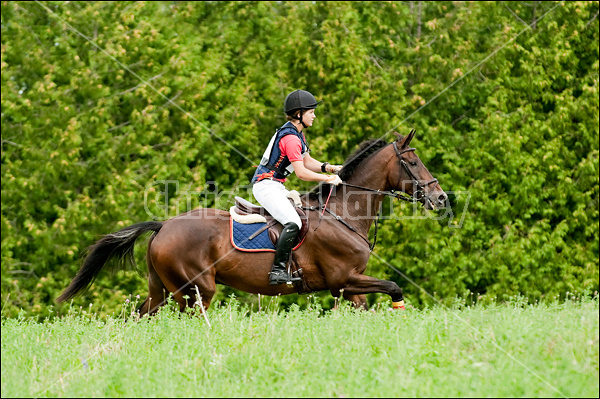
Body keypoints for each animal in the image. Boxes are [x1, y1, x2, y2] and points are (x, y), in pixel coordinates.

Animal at [57, 131, 446, 316]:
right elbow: (394, 287)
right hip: (195, 290)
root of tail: (163, 226)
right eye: (413, 162)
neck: (343, 214)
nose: (441, 198)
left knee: (141, 317)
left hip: (161, 288)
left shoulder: (347, 288)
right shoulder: (344, 278)